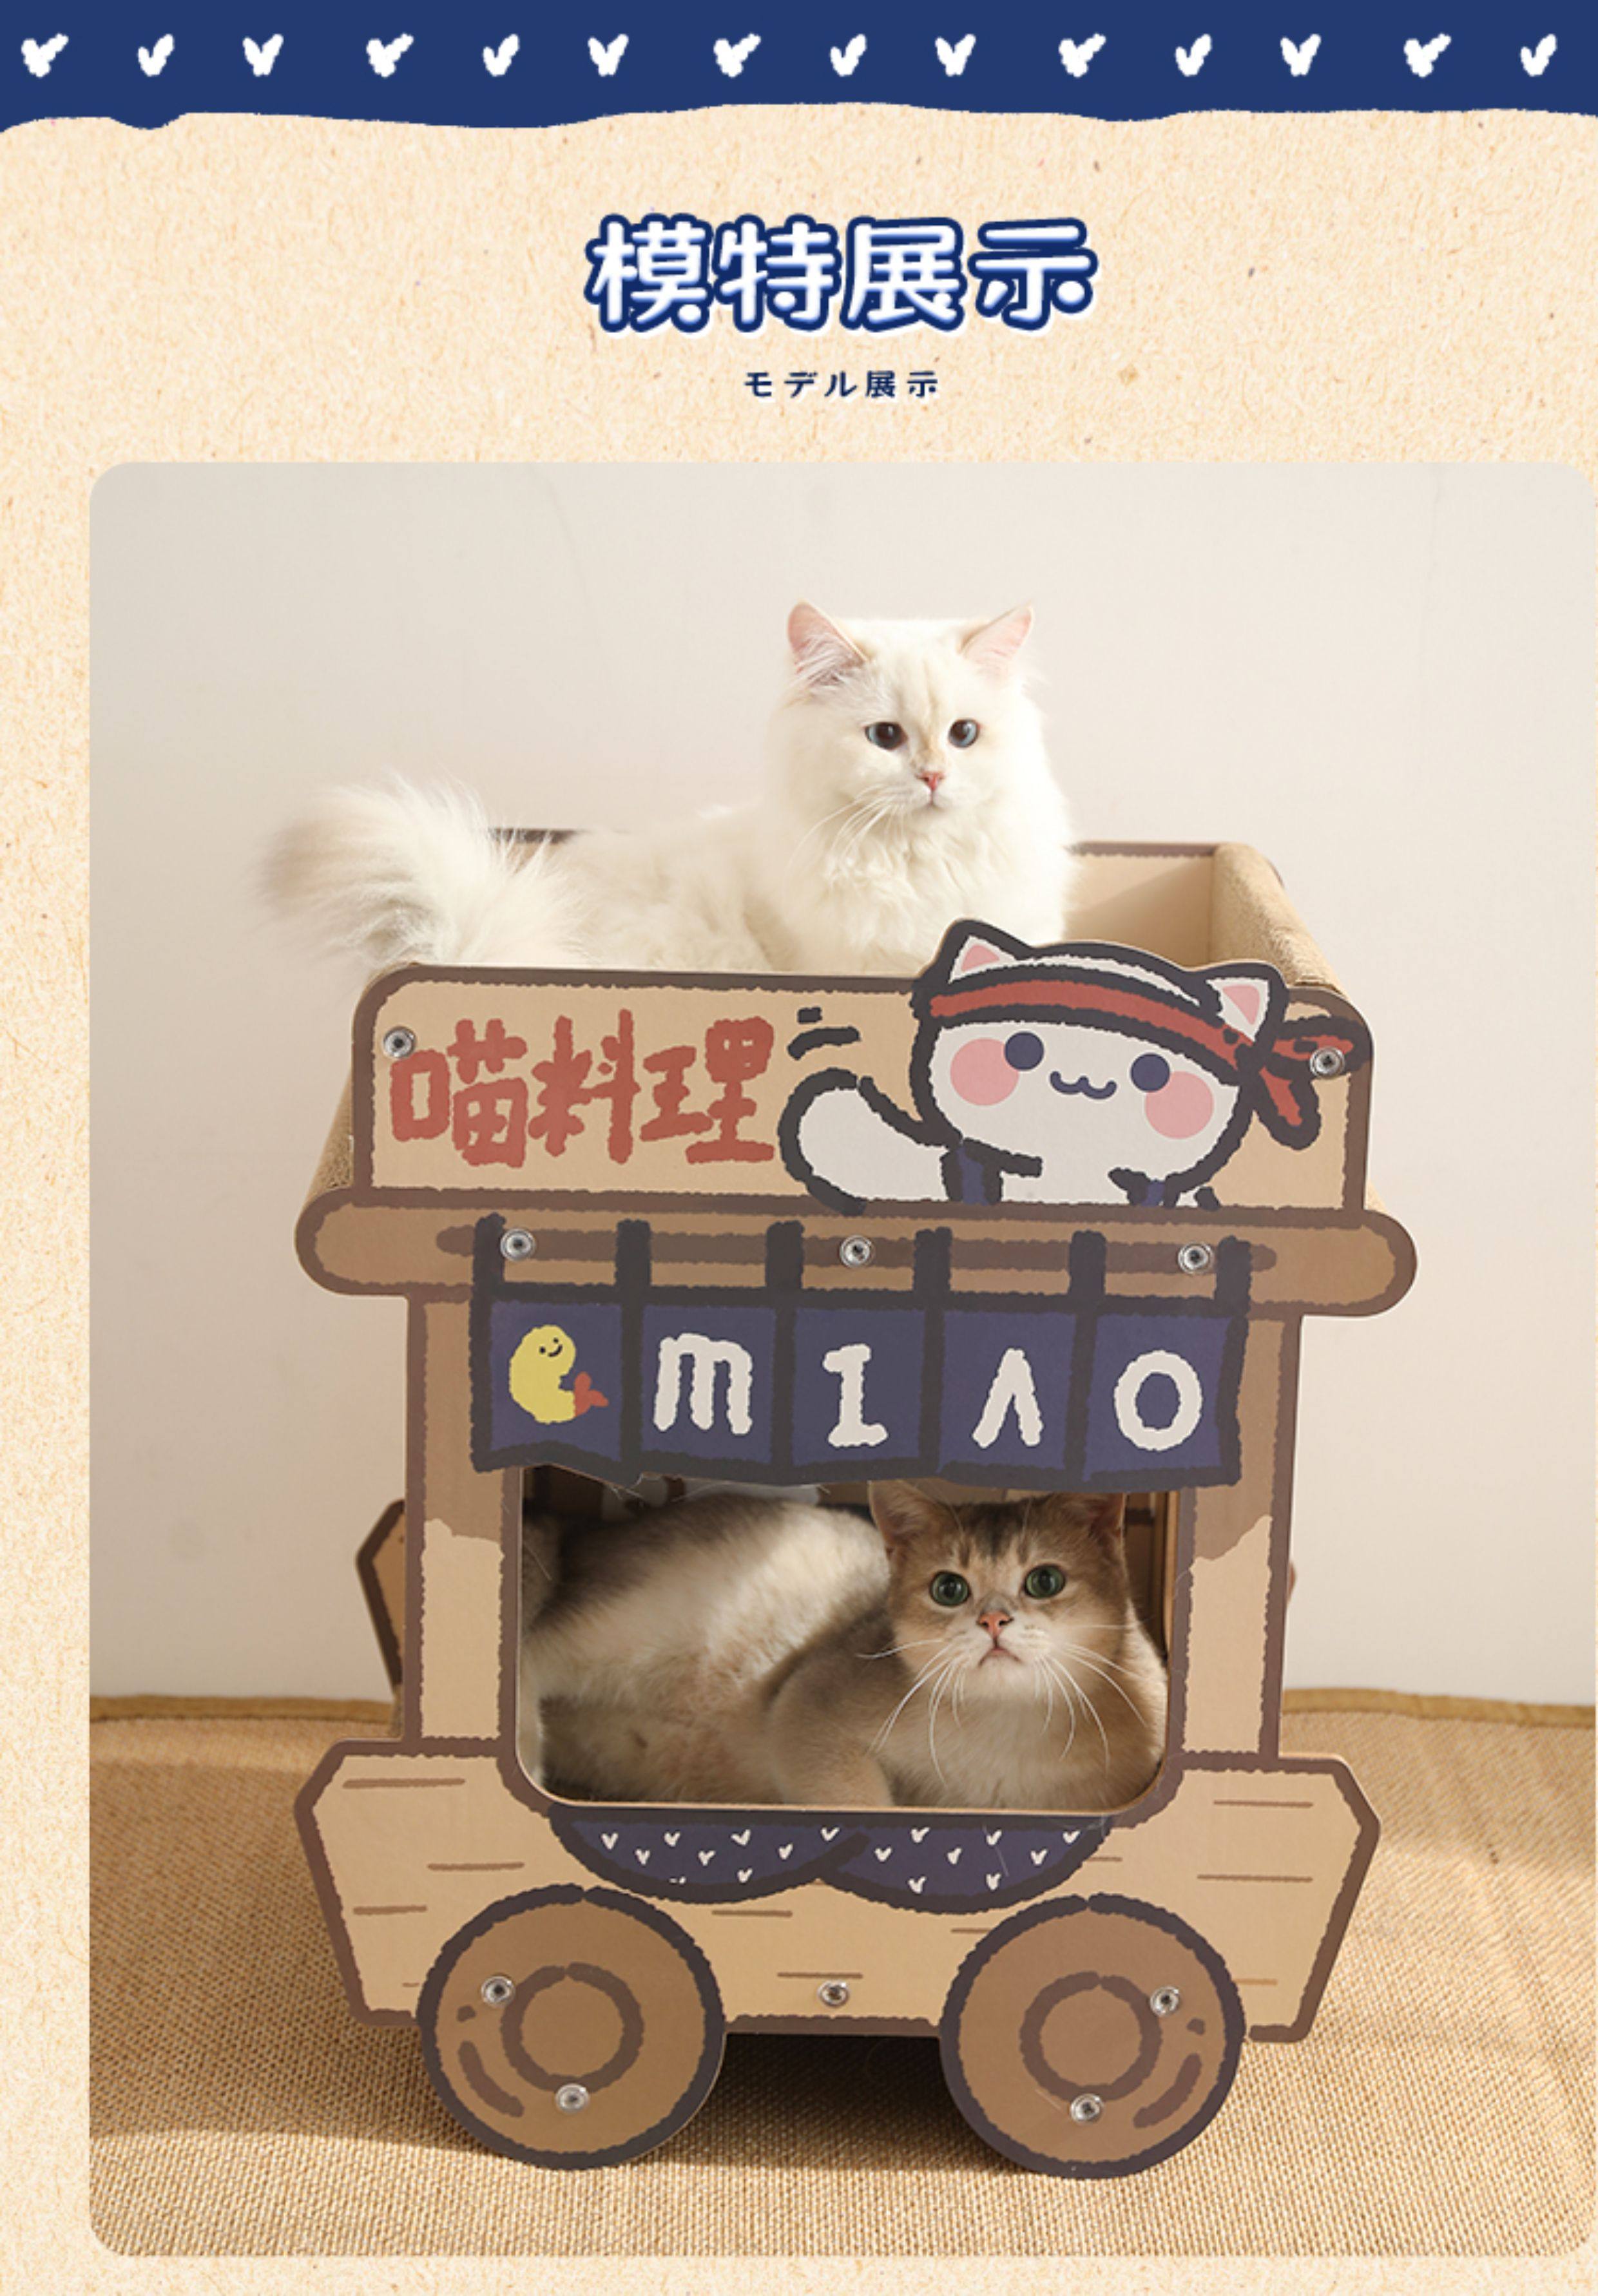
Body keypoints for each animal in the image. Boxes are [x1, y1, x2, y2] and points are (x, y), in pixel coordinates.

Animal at [518, 1482, 1166, 1814]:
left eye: (1045, 1581)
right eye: (949, 1589)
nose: (993, 1620)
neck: (1008, 1729)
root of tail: (587, 1534)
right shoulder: (810, 1700)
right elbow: (857, 1802)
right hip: (628, 1625)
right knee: (529, 1652)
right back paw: (526, 1753)